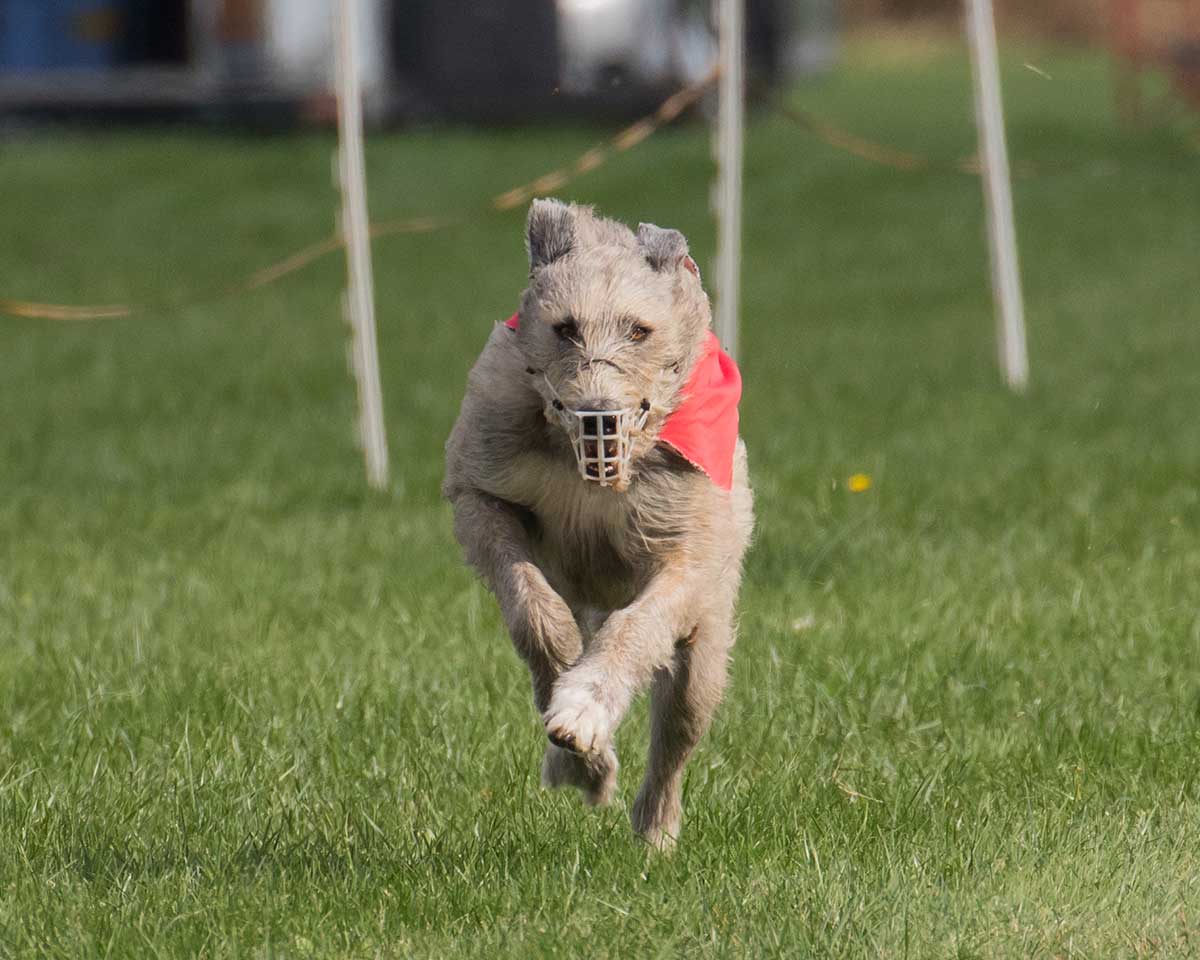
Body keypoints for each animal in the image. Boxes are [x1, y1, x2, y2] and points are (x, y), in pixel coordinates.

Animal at [446, 196, 753, 849]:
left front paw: (583, 709)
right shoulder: (483, 487)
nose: (599, 417)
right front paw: (579, 750)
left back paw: (656, 826)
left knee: (681, 722)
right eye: (565, 328)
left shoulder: (687, 544)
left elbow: (639, 625)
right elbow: (533, 608)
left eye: (639, 330)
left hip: (710, 633)